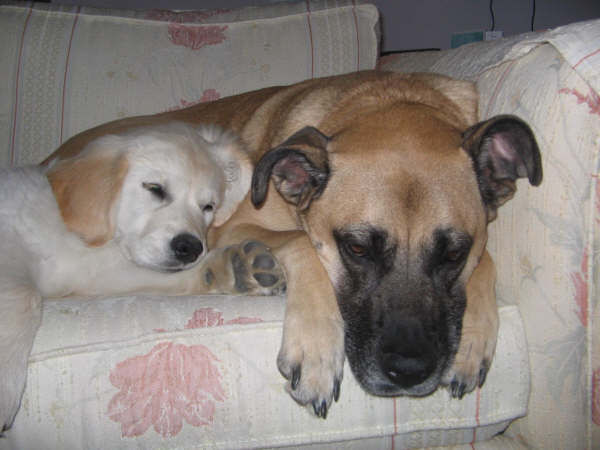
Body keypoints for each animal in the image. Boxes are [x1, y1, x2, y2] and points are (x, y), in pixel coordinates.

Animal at [0, 121, 286, 430]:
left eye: (208, 206)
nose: (190, 248)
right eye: (155, 189)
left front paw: (234, 268)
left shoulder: (96, 272)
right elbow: (23, 294)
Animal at [44, 70, 540, 418]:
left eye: (454, 253)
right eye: (357, 249)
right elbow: (303, 243)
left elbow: (488, 260)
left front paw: (472, 340)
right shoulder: (232, 227)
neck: (393, 100)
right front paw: (317, 351)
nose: (409, 372)